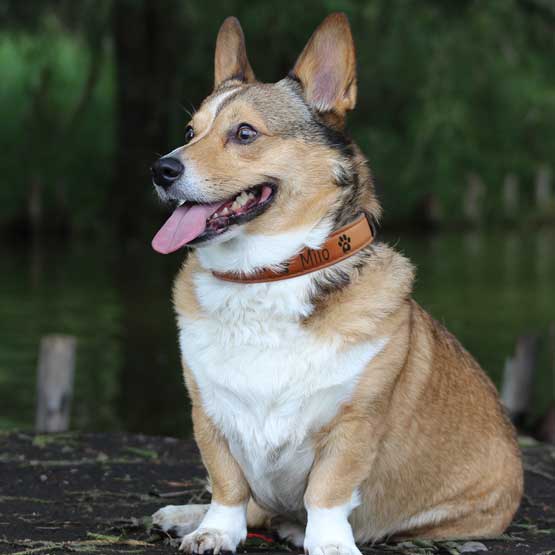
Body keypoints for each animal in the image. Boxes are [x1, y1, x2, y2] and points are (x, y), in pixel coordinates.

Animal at [150, 13, 524, 555]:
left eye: (244, 133)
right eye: (188, 131)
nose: (161, 168)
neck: (268, 274)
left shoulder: (353, 425)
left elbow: (326, 492)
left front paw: (327, 543)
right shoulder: (210, 413)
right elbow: (227, 485)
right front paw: (215, 531)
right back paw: (185, 516)